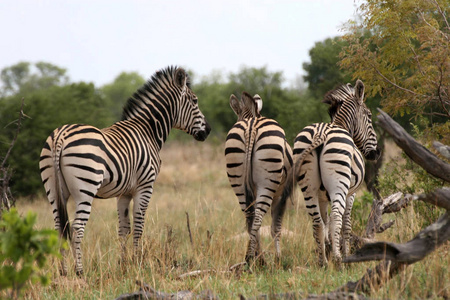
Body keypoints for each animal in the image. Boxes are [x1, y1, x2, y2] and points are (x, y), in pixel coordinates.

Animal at [39, 66, 212, 276]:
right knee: (76, 229)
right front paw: (138, 262)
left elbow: (123, 229)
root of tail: (60, 136)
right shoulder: (145, 187)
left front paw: (123, 265)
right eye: (195, 101)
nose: (208, 130)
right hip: (85, 188)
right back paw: (80, 272)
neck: (148, 131)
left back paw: (63, 272)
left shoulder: (124, 193)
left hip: (54, 190)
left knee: (60, 228)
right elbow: (138, 226)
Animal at [225, 92, 296, 264]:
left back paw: (254, 258)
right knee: (257, 217)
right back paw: (254, 258)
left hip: (237, 180)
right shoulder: (281, 195)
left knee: (249, 216)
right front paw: (278, 258)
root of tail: (251, 125)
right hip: (267, 183)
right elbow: (276, 228)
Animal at [292, 78, 380, 266]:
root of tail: (320, 133)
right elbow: (345, 224)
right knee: (336, 218)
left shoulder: (322, 196)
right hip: (338, 185)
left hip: (308, 187)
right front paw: (344, 254)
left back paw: (323, 262)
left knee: (317, 222)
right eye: (369, 116)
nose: (376, 153)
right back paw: (340, 261)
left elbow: (325, 222)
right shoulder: (351, 194)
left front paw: (327, 248)